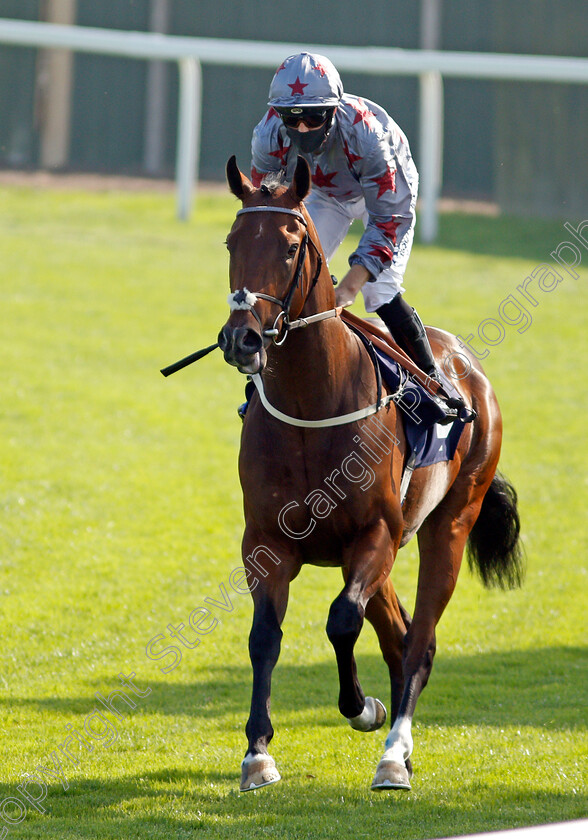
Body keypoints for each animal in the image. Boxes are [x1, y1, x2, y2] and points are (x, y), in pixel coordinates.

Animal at [218, 158, 520, 796]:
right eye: (232, 241)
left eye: (290, 247)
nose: (242, 338)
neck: (311, 407)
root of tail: (465, 364)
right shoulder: (266, 542)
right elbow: (264, 636)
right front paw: (257, 754)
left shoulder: (374, 534)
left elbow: (340, 620)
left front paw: (362, 708)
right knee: (398, 635)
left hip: (448, 524)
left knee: (420, 641)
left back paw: (394, 753)